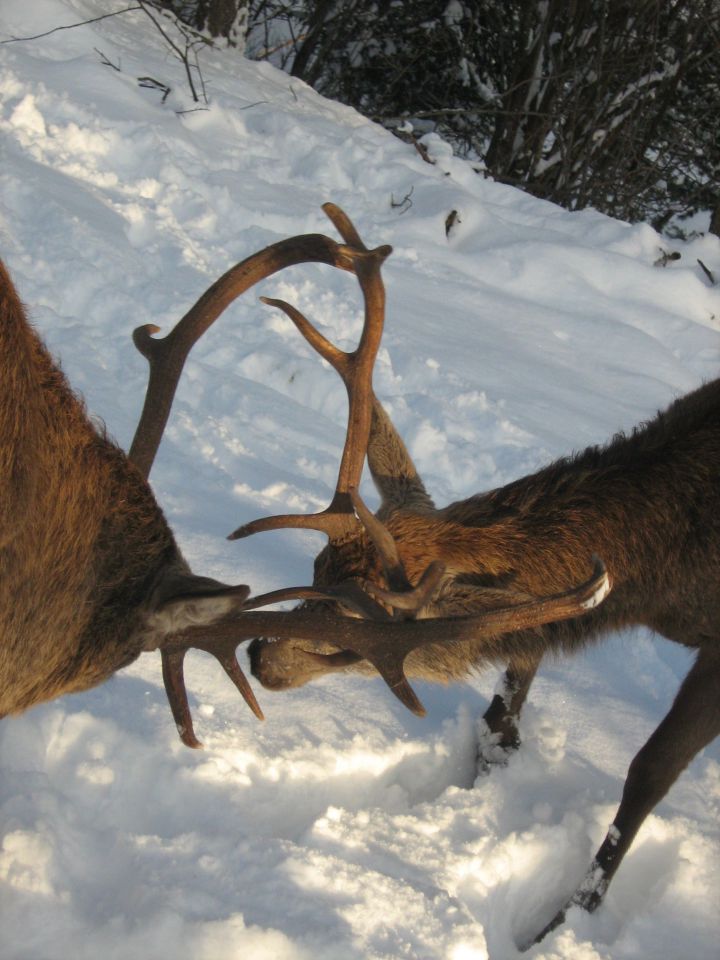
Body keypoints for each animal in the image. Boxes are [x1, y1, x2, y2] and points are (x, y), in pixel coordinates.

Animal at [242, 208, 720, 944]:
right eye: (314, 567)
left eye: (368, 629)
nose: (260, 654)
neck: (667, 579)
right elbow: (508, 698)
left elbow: (649, 770)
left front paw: (562, 920)